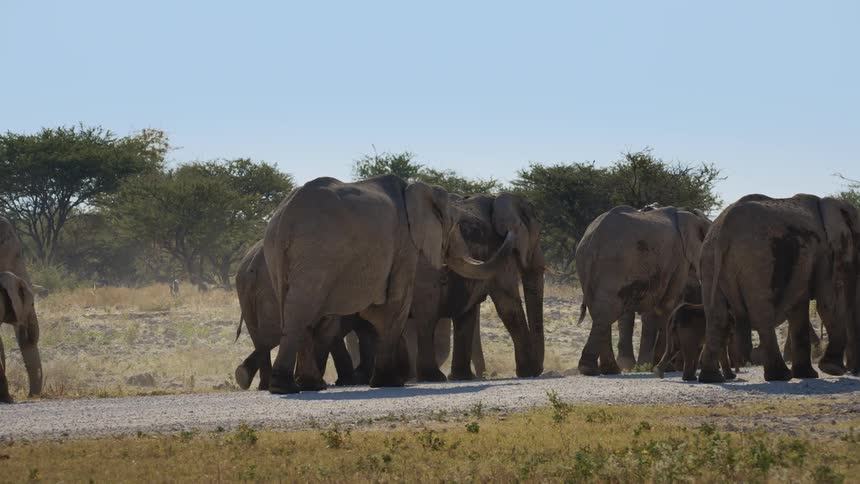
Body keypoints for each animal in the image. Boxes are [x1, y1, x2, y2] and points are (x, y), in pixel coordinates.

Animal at [233, 240, 377, 390]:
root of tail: (254, 262)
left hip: (247, 290)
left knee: (262, 336)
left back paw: (251, 380)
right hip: (271, 290)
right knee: (275, 333)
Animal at [262, 175, 514, 393]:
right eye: (453, 225)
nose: (509, 232)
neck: (415, 188)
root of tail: (286, 215)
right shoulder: (405, 242)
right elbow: (396, 304)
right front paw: (390, 383)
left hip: (275, 250)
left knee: (298, 312)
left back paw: (308, 386)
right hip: (317, 250)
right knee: (303, 310)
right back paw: (286, 387)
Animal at [408, 193, 545, 382]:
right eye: (538, 236)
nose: (540, 369)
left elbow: (468, 312)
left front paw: (461, 377)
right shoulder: (500, 250)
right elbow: (508, 306)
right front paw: (528, 372)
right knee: (425, 315)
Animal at [576, 205, 711, 376]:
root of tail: (592, 237)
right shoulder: (679, 260)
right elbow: (667, 305)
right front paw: (665, 368)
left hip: (589, 264)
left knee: (602, 311)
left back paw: (608, 370)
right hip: (615, 262)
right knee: (608, 311)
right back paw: (593, 370)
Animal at [698, 194, 860, 383]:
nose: (853, 371)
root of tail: (723, 228)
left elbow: (799, 307)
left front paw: (808, 375)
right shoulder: (824, 253)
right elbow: (828, 302)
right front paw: (832, 370)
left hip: (708, 260)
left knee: (717, 316)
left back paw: (711, 378)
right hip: (757, 261)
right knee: (762, 315)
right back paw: (779, 375)